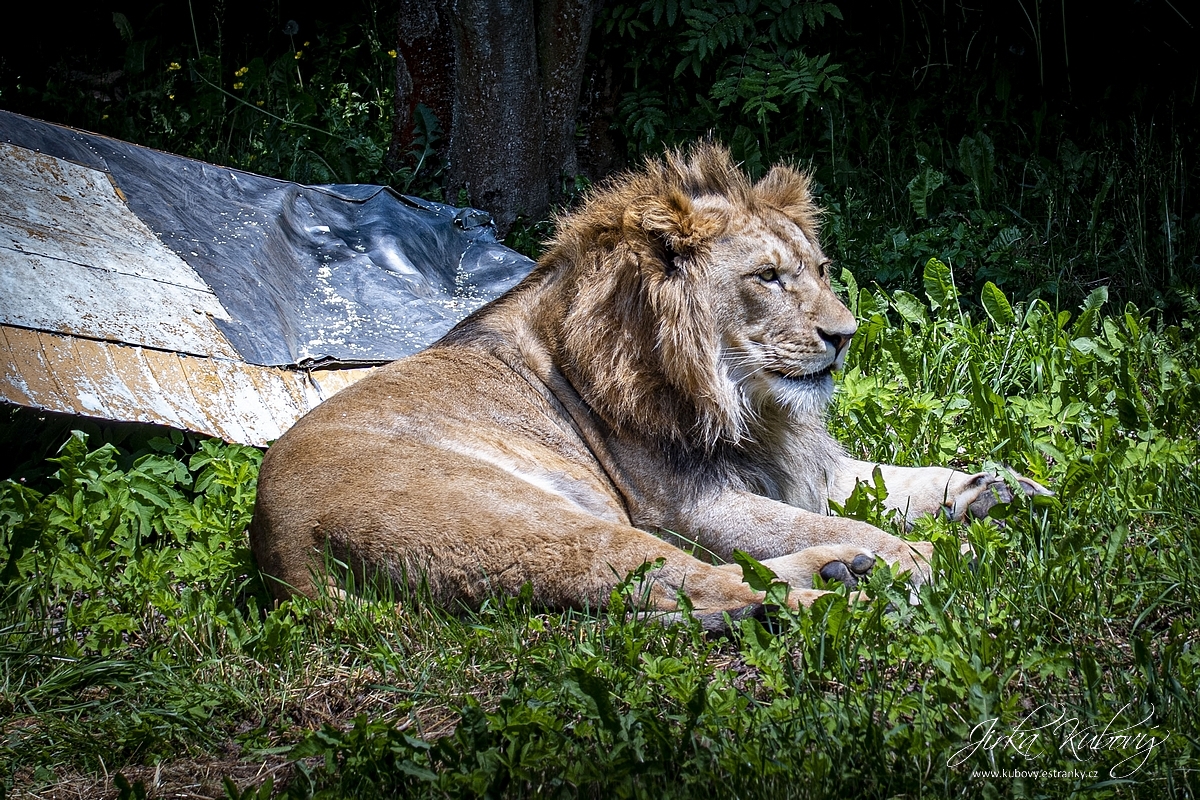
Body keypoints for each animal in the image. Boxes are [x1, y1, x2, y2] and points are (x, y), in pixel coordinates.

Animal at [248, 142, 1046, 618]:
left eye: (820, 270)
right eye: (767, 278)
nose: (845, 337)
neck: (746, 400)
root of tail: (286, 557)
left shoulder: (797, 465)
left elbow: (902, 477)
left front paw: (1002, 489)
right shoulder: (690, 506)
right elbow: (833, 518)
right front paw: (921, 550)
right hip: (546, 523)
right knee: (704, 583)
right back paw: (850, 582)